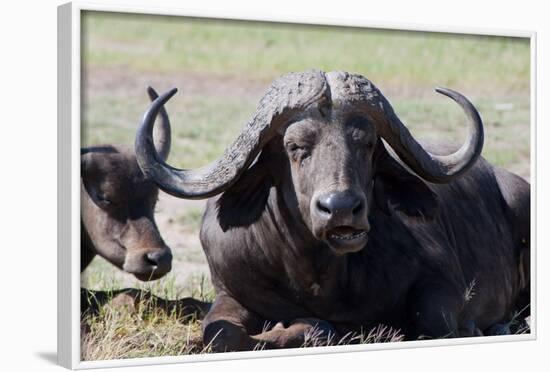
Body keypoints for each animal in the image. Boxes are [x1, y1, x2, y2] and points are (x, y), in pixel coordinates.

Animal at [134, 70, 532, 352]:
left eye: (367, 143)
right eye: (295, 147)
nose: (340, 208)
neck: (316, 272)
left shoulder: (441, 281)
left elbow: (436, 322)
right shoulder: (230, 291)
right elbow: (223, 334)